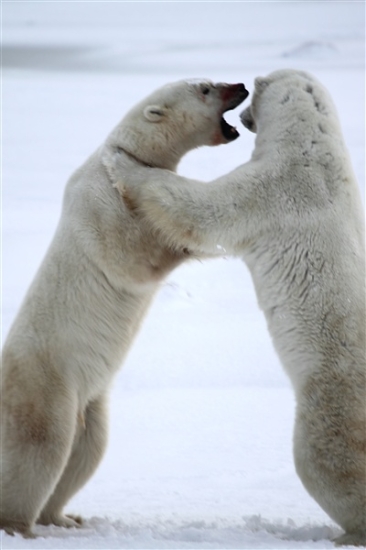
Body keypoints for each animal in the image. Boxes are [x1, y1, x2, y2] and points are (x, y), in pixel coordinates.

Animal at [0, 78, 249, 540]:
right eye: (205, 89)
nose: (240, 84)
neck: (124, 149)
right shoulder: (101, 200)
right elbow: (129, 253)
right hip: (46, 386)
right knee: (41, 449)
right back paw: (22, 526)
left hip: (90, 399)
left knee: (86, 451)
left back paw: (66, 517)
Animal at [119, 70, 366, 548]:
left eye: (256, 86)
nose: (247, 110)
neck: (313, 144)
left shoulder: (277, 188)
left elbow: (206, 210)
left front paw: (128, 166)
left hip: (331, 404)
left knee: (323, 462)